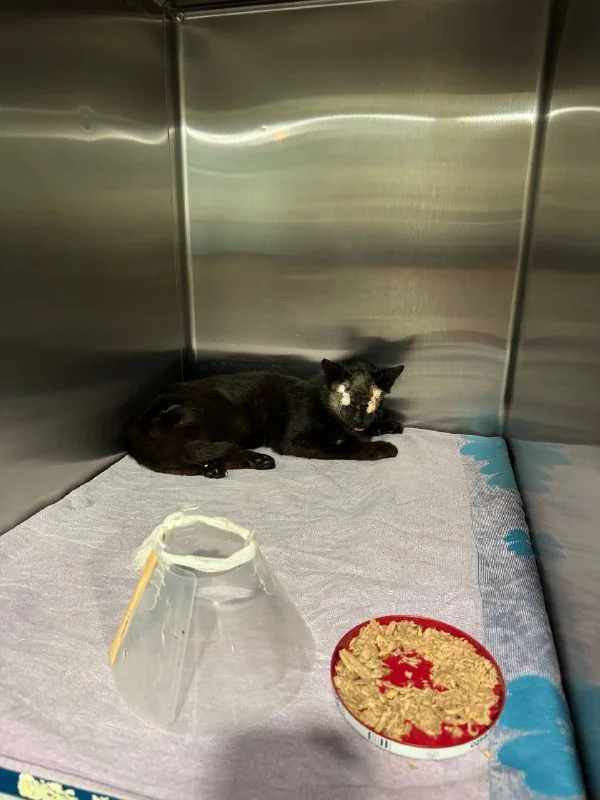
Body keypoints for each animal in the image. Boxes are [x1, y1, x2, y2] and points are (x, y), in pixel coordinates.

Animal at [125, 357, 405, 478]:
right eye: (346, 399)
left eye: (373, 401)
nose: (358, 420)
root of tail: (136, 421)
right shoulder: (293, 440)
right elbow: (342, 444)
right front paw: (381, 447)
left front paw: (387, 424)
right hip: (229, 419)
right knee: (188, 451)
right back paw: (256, 460)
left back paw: (217, 468)